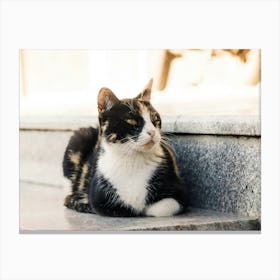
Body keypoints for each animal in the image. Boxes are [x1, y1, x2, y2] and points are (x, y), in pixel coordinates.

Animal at [63, 79, 188, 217]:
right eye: (132, 121)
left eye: (155, 119)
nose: (152, 132)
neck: (133, 159)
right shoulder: (99, 199)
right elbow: (121, 208)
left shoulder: (180, 192)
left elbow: (160, 208)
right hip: (79, 138)